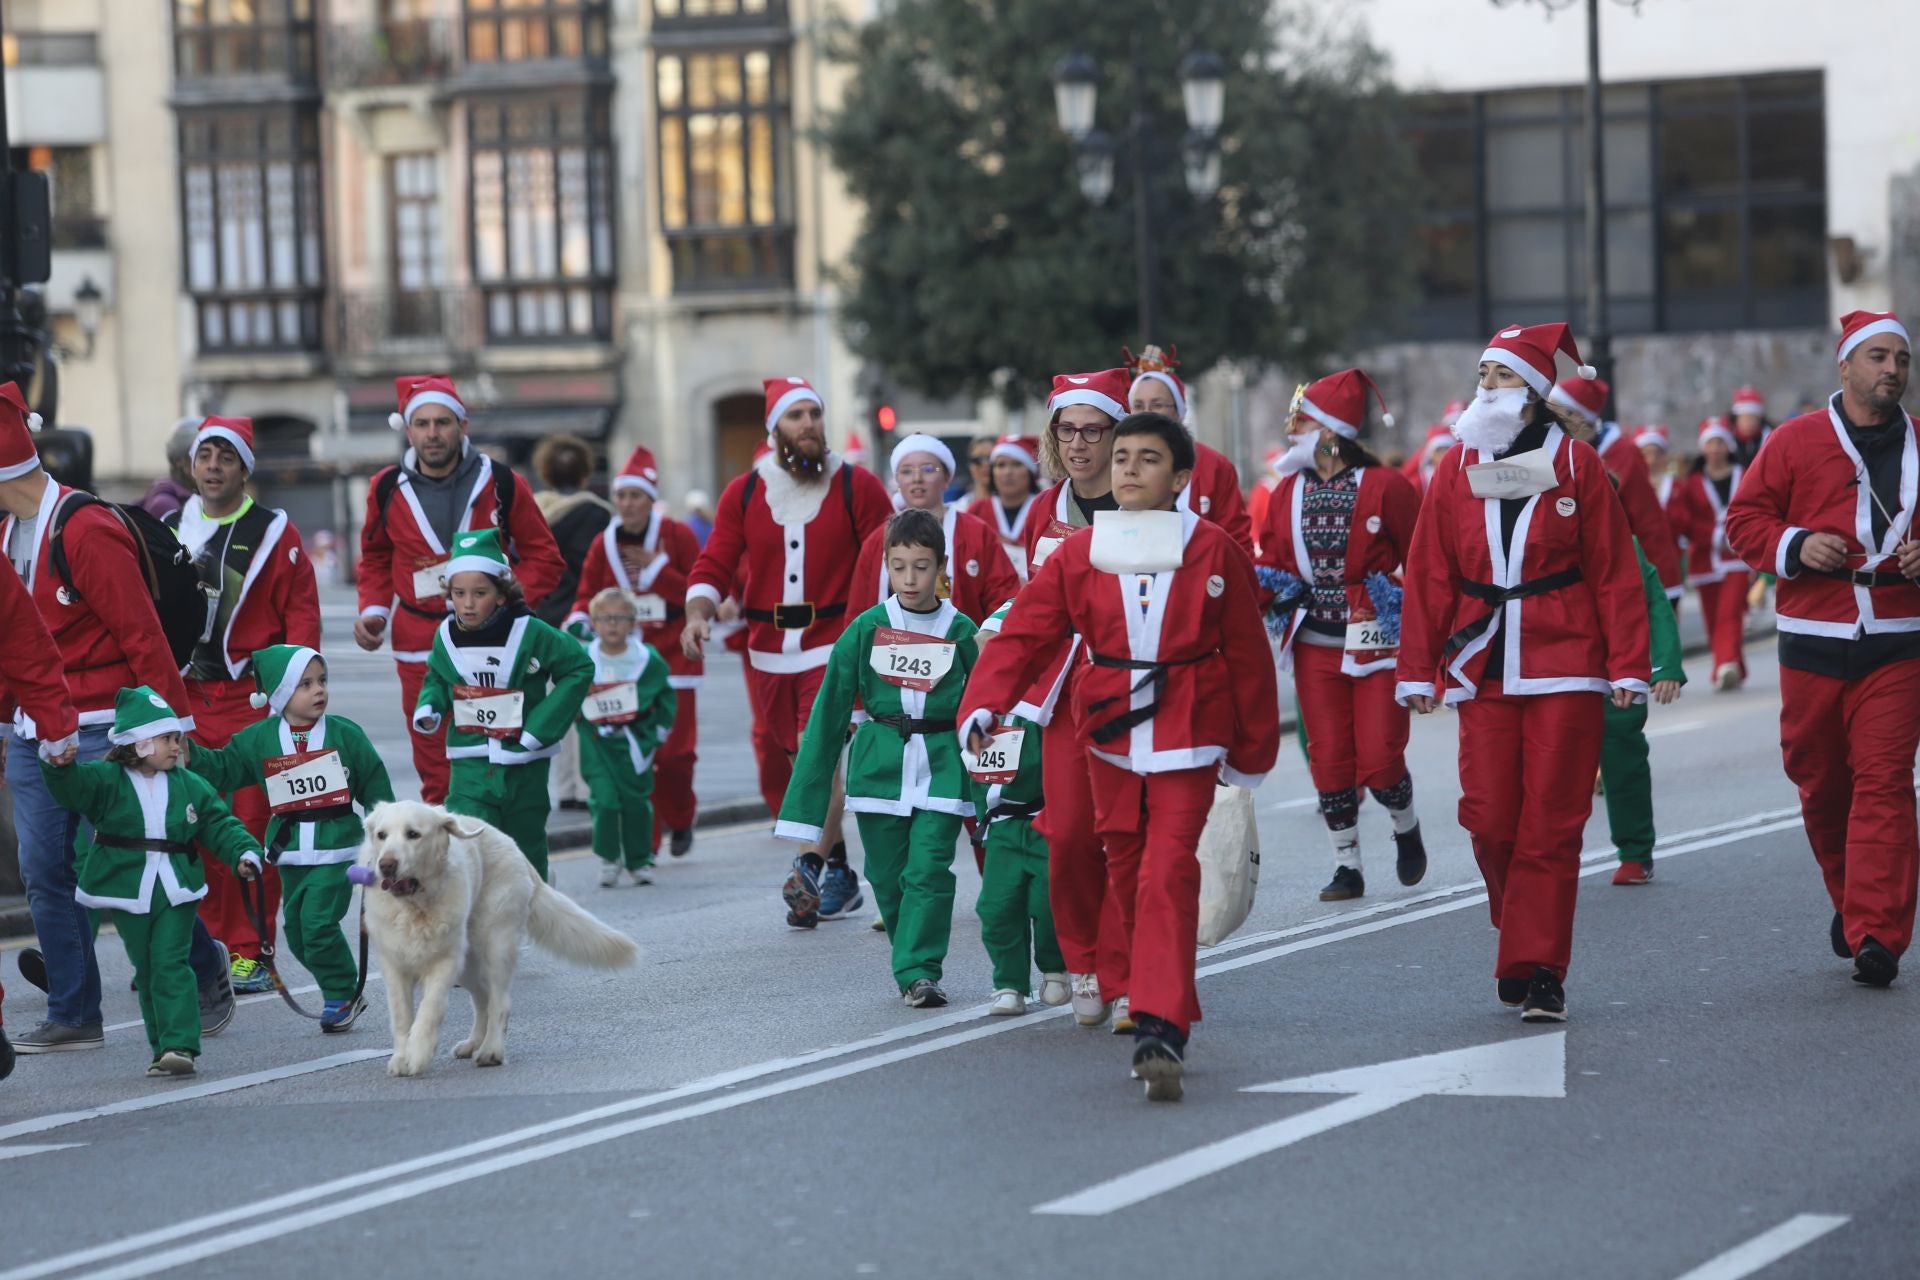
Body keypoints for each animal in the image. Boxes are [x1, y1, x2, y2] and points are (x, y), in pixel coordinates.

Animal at [353, 805, 637, 1074]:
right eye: (381, 835)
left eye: (413, 834)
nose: (386, 864)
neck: (416, 907)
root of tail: (512, 844)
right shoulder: (394, 966)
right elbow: (402, 1017)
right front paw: (402, 1058)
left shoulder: (445, 962)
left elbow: (428, 1012)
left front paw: (419, 1054)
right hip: (469, 964)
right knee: (483, 999)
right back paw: (473, 1044)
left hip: (496, 944)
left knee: (499, 1002)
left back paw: (491, 1050)